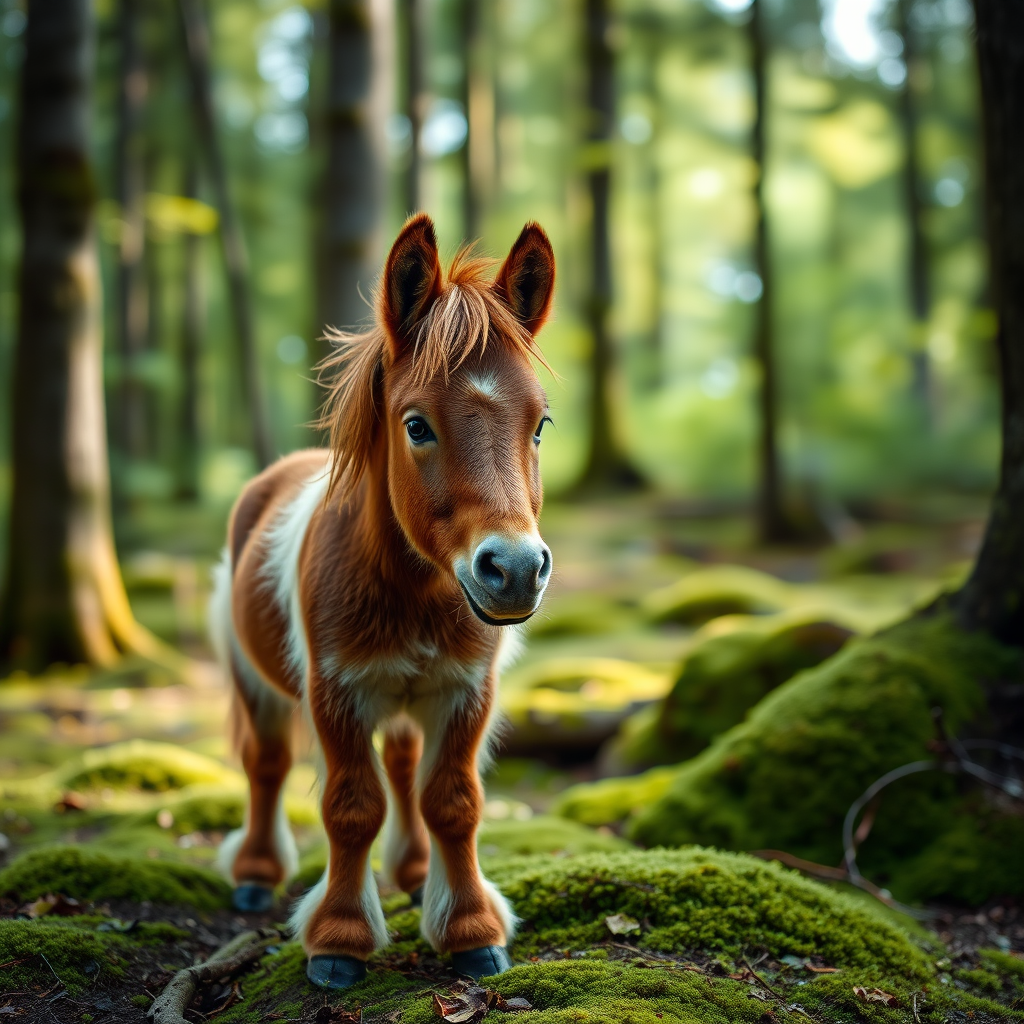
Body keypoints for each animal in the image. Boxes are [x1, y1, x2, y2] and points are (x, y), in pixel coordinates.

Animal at [208, 214, 556, 990]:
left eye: (540, 424)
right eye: (416, 424)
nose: (515, 570)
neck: (415, 589)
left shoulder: (465, 691)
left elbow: (452, 802)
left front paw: (471, 933)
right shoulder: (335, 692)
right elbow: (351, 808)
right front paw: (338, 942)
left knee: (402, 768)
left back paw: (416, 872)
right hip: (255, 680)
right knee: (266, 766)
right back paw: (255, 876)